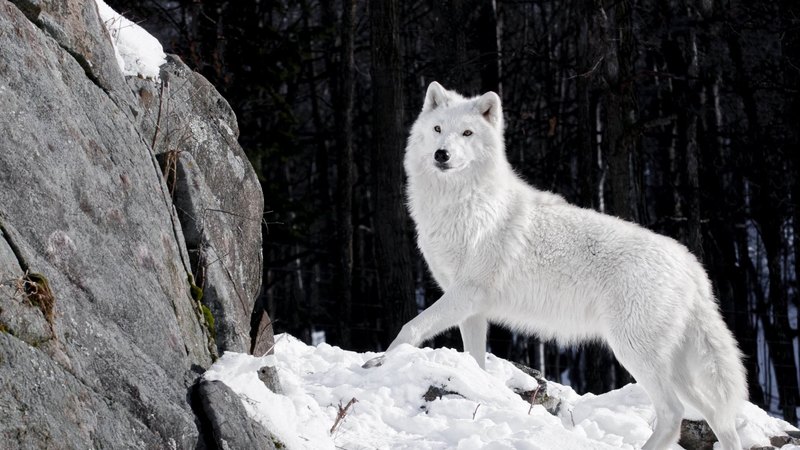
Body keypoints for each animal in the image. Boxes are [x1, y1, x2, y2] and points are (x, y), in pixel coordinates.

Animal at [385, 82, 747, 450]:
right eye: (438, 129)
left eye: (467, 133)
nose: (441, 154)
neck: (462, 204)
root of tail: (691, 264)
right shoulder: (472, 310)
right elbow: (474, 360)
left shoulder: (466, 294)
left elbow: (408, 329)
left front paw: (383, 363)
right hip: (674, 368)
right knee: (718, 416)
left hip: (634, 352)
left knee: (674, 415)